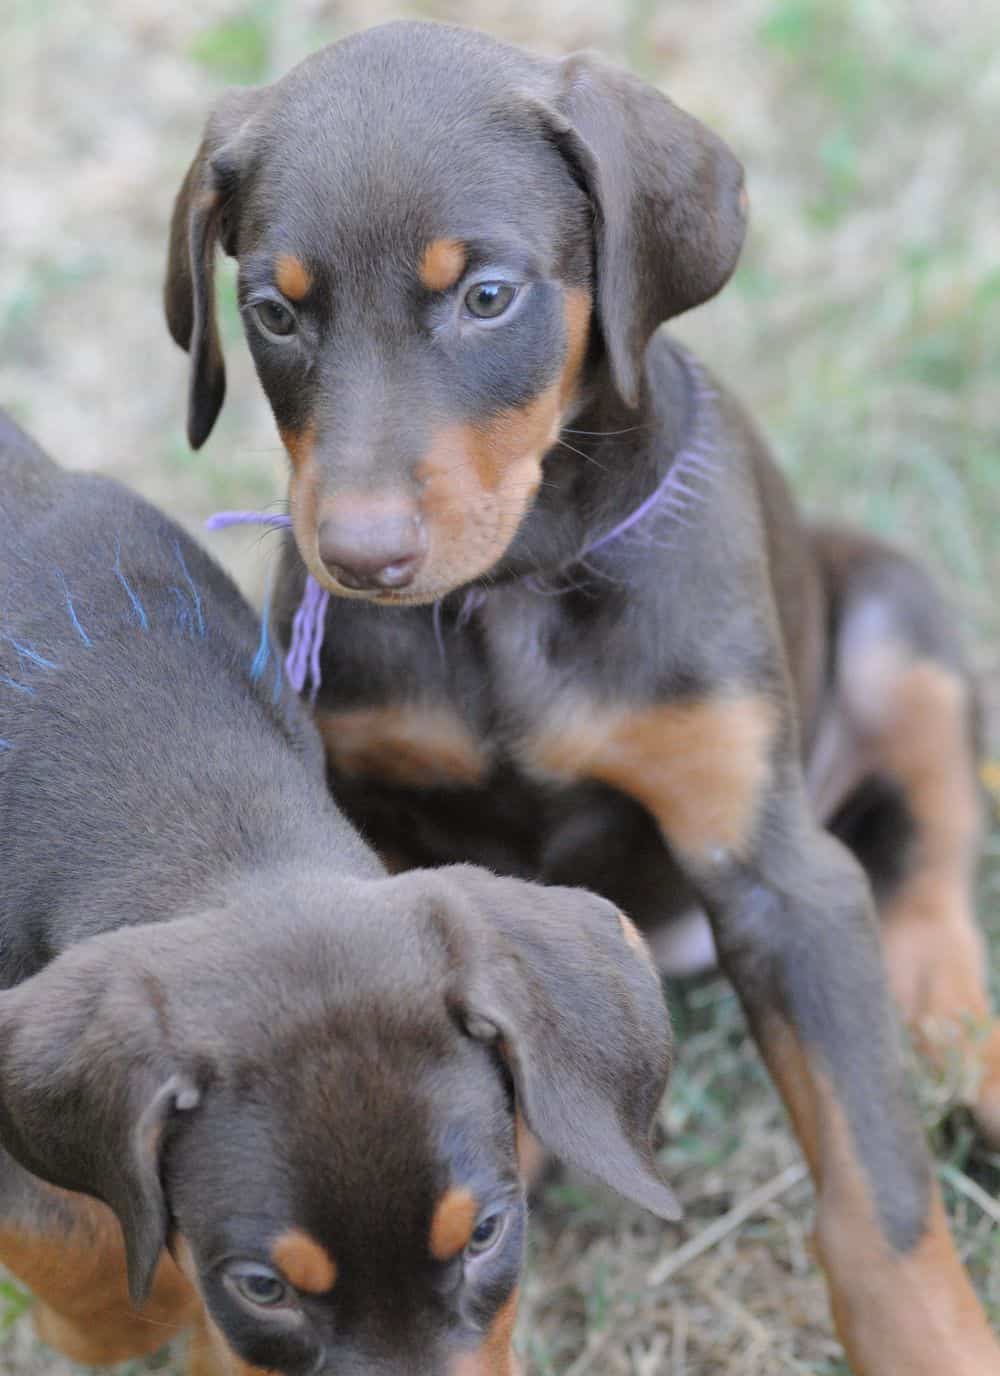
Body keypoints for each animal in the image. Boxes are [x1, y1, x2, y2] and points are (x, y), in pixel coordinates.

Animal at [168, 21, 1000, 1376]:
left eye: (486, 296)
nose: (360, 557)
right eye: (274, 312)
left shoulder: (776, 873)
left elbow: (875, 1191)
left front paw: (934, 1342)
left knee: (926, 884)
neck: (512, 593)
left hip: (896, 621)